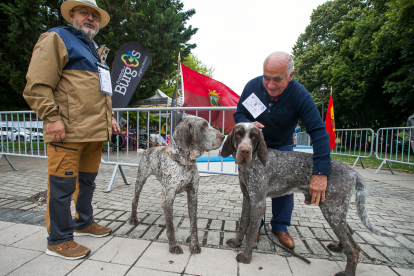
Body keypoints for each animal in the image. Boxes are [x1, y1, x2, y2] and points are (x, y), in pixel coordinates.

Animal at [130, 116, 225, 254]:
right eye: (203, 126)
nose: (223, 136)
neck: (184, 162)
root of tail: (147, 149)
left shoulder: (192, 195)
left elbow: (193, 225)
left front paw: (194, 244)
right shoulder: (169, 196)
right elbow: (170, 228)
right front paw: (173, 245)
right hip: (140, 180)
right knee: (135, 200)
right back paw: (133, 219)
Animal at [222, 123, 396, 276]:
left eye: (254, 137)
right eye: (238, 134)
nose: (245, 151)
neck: (252, 164)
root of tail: (352, 172)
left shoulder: (258, 202)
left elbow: (251, 232)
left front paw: (246, 256)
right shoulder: (248, 198)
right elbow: (243, 224)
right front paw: (237, 243)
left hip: (332, 210)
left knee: (353, 248)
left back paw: (347, 272)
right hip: (335, 210)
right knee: (350, 232)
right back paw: (339, 247)